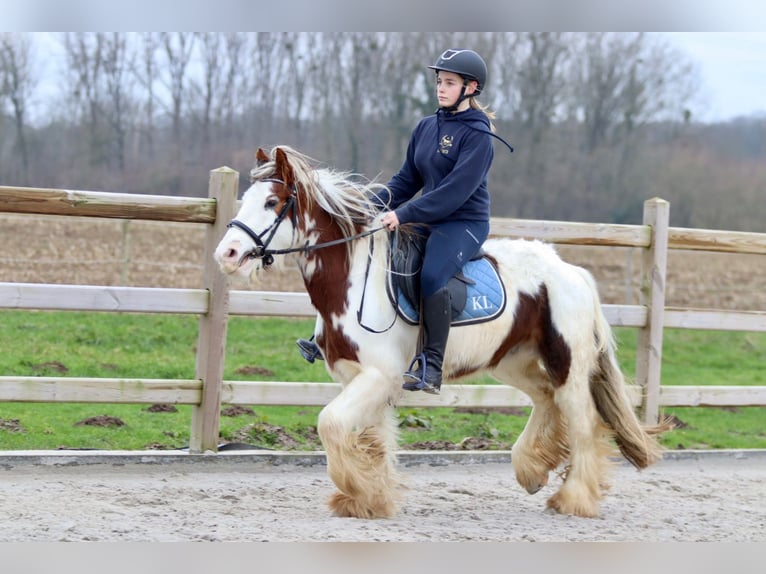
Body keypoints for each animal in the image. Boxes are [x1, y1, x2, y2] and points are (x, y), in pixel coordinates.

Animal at [214, 145, 672, 520]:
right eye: (247, 199)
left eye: (272, 202)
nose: (227, 254)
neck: (353, 281)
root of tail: (571, 271)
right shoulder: (358, 379)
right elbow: (370, 439)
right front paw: (368, 500)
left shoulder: (379, 376)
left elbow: (330, 425)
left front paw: (359, 491)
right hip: (512, 361)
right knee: (545, 398)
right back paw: (531, 469)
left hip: (568, 364)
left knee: (579, 418)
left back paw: (574, 499)